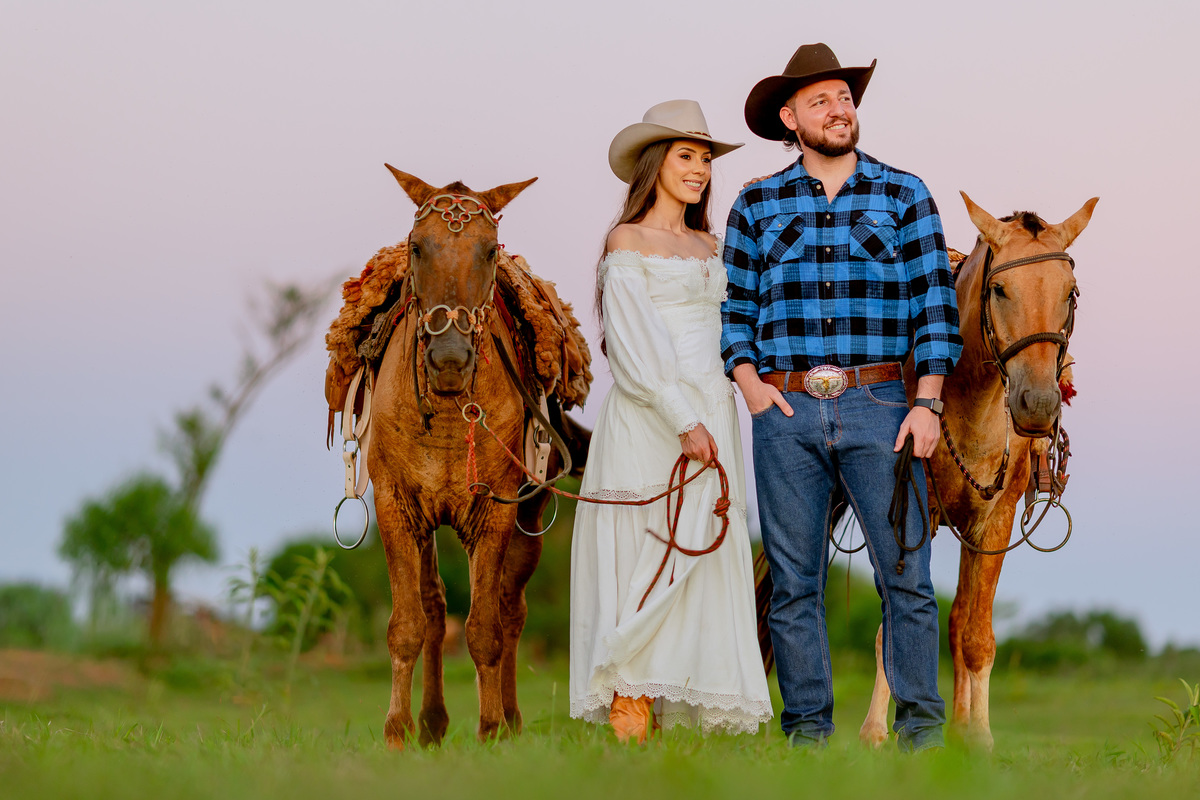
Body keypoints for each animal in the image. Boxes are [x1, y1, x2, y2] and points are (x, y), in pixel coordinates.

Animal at [365, 168, 588, 749]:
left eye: (489, 251)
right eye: (417, 247)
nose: (448, 359)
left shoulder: (495, 512)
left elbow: (486, 628)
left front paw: (491, 729)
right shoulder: (397, 507)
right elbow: (408, 624)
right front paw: (397, 731)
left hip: (528, 519)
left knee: (510, 610)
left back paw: (509, 718)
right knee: (435, 606)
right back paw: (432, 723)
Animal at [856, 192, 1098, 749]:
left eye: (1070, 292)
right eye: (1000, 289)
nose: (1038, 403)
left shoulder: (993, 524)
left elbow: (974, 634)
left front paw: (978, 738)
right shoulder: (909, 513)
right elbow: (893, 621)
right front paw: (876, 733)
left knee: (959, 620)